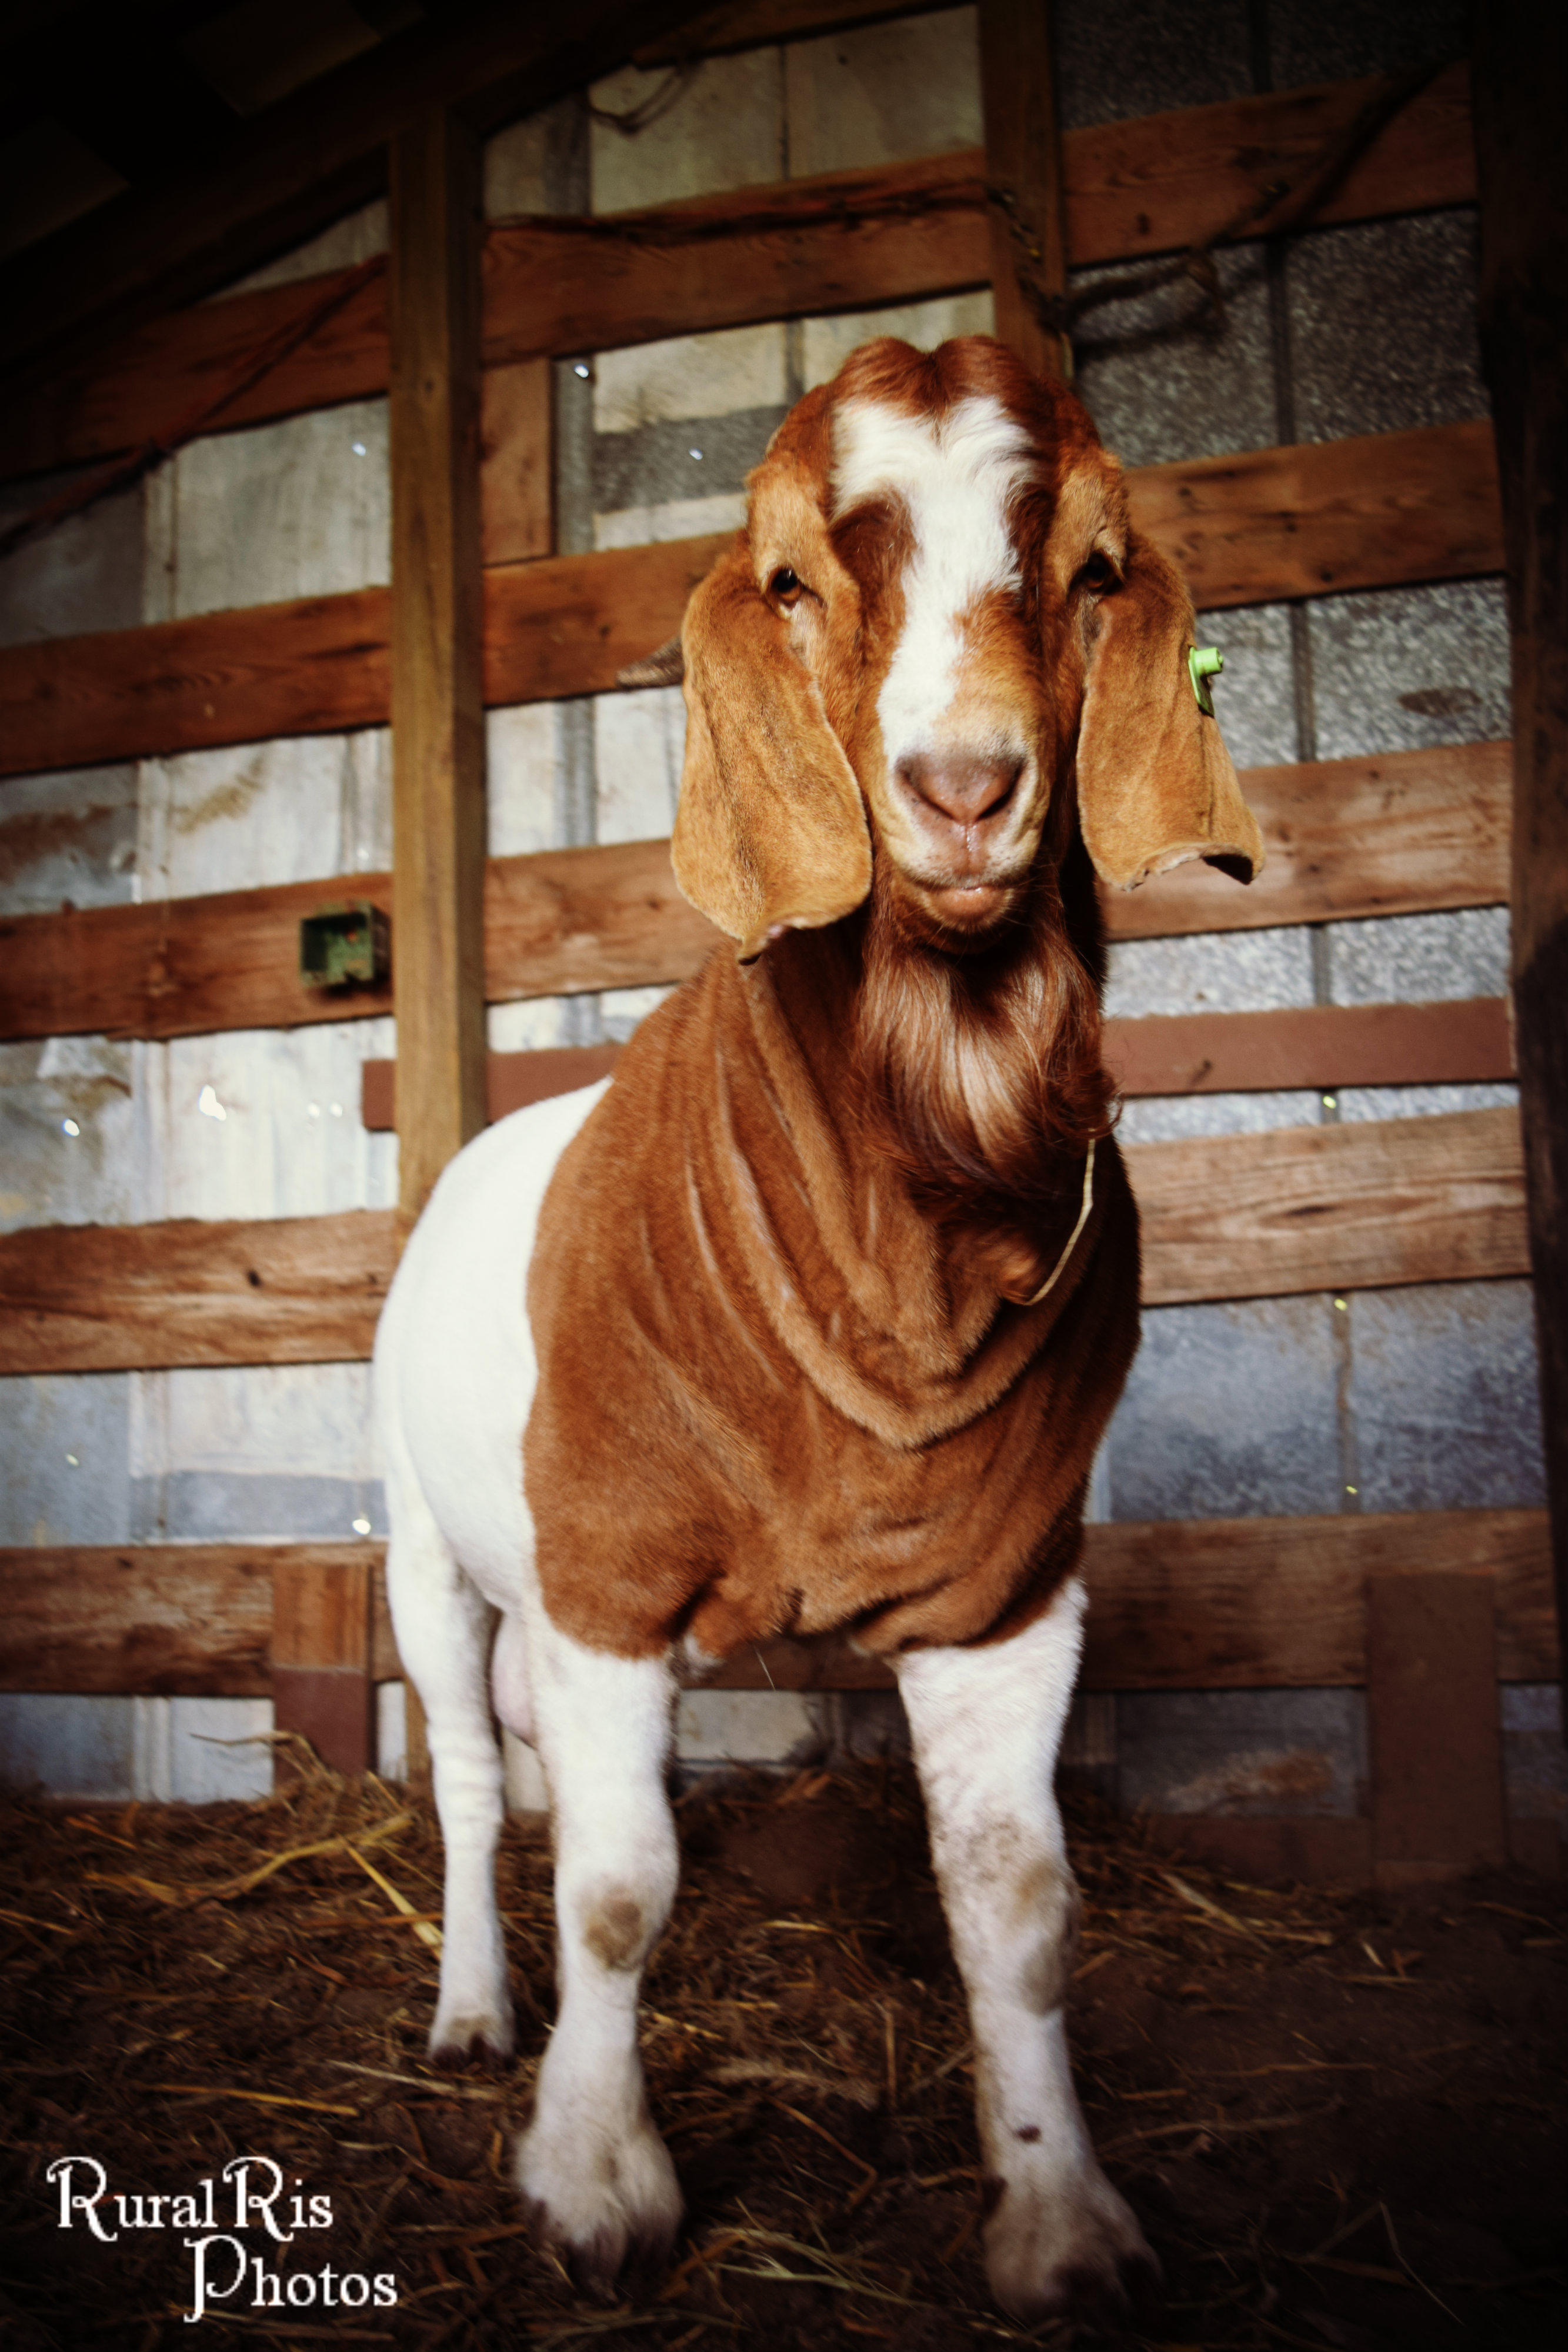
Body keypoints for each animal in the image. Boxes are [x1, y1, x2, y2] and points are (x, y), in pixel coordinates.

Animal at [374, 333, 1262, 2322]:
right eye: (787, 579)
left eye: (1093, 568)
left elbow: (1018, 1904)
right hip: (419, 1538)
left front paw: (1058, 2211)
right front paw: (592, 2179)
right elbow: (616, 1889)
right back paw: (470, 2010)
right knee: (470, 1783)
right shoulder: (606, 1566)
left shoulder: (1007, 1590)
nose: (964, 785)